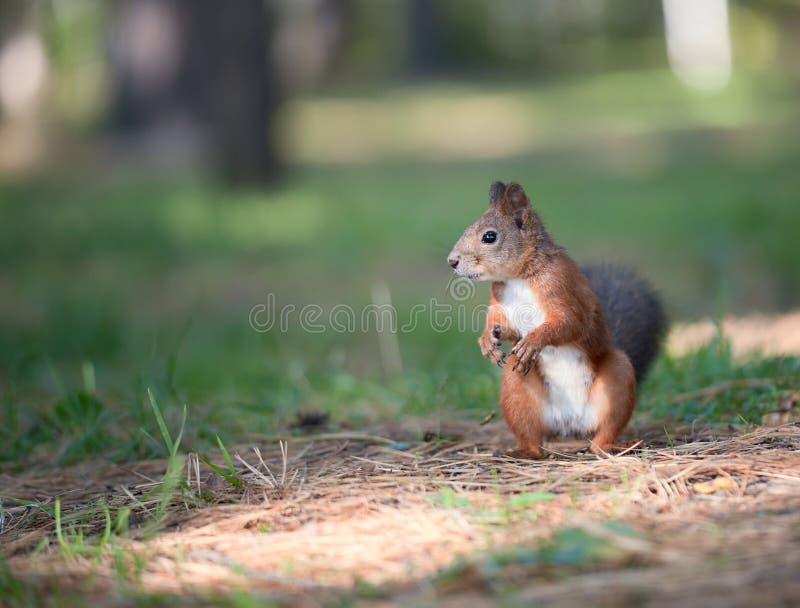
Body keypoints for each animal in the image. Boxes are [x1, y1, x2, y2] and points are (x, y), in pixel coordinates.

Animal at [446, 180, 664, 456]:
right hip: (516, 390)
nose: (452, 261)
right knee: (532, 439)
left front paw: (533, 341)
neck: (518, 277)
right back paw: (522, 451)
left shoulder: (562, 289)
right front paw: (487, 340)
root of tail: (570, 425)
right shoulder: (500, 304)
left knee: (603, 434)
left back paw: (613, 445)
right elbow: (503, 325)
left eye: (489, 236)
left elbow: (570, 323)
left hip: (618, 377)